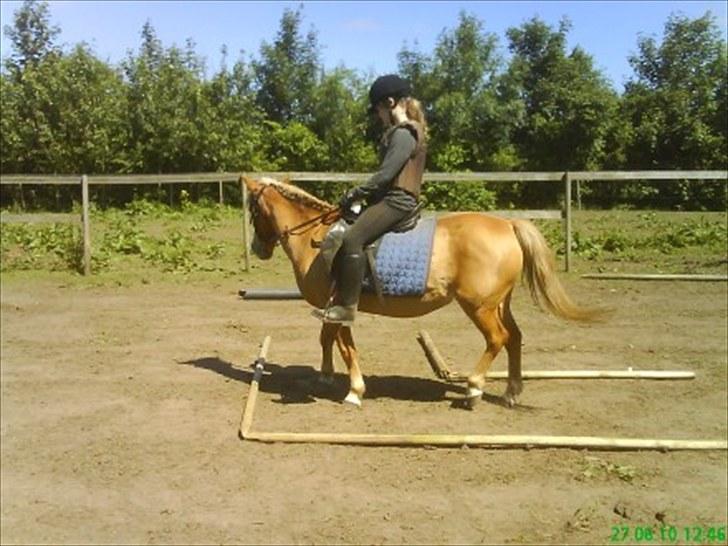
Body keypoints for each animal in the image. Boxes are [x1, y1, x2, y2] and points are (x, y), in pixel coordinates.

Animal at [242, 175, 605, 409]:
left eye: (253, 209)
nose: (258, 249)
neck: (316, 237)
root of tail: (507, 225)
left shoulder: (341, 306)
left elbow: (345, 346)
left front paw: (354, 391)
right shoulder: (331, 307)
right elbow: (327, 339)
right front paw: (325, 377)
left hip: (479, 306)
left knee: (498, 339)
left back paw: (474, 390)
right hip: (499, 303)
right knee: (515, 337)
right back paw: (511, 392)